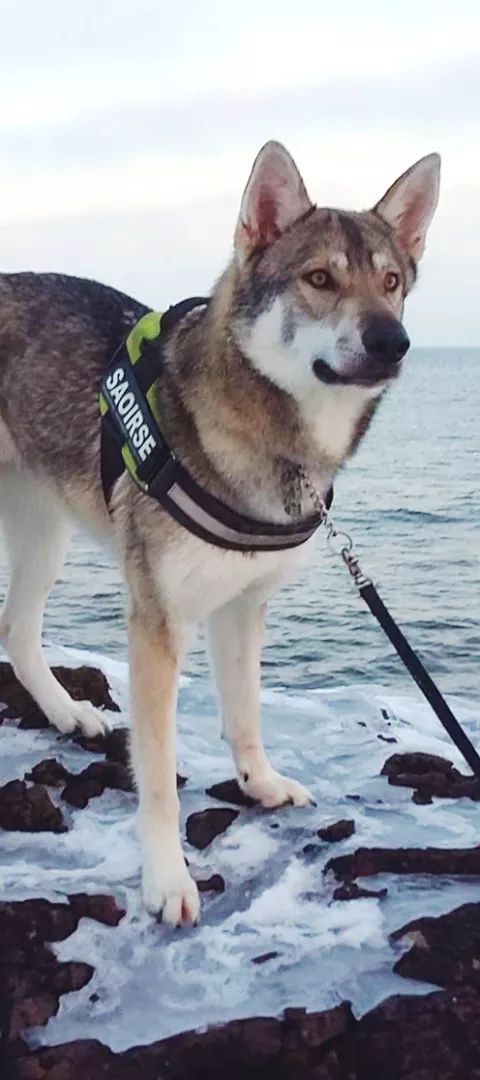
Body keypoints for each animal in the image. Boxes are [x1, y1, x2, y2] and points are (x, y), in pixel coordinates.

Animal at [0, 139, 438, 924]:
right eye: (319, 278)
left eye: (391, 282)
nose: (394, 341)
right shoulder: (158, 623)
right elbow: (158, 778)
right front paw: (167, 880)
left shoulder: (242, 605)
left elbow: (246, 712)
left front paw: (259, 785)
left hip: (43, 533)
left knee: (17, 631)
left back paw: (68, 713)